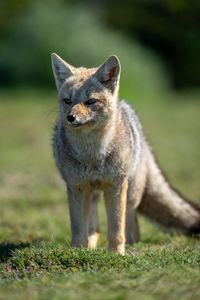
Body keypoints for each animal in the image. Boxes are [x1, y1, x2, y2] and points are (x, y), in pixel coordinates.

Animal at [51, 53, 200, 253]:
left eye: (90, 101)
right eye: (67, 101)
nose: (70, 117)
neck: (93, 155)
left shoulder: (116, 185)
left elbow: (116, 229)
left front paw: (115, 254)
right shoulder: (76, 187)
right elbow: (78, 230)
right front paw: (78, 252)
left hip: (130, 194)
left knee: (131, 228)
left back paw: (130, 247)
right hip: (93, 195)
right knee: (95, 227)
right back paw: (90, 248)